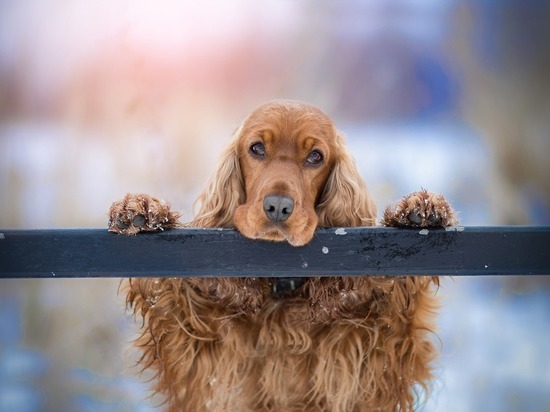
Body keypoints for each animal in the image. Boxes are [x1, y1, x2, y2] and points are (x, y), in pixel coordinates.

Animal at [108, 100, 458, 412]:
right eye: (257, 148)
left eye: (316, 157)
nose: (278, 206)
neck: (281, 288)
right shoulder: (198, 357)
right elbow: (168, 296)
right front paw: (141, 211)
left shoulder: (373, 358)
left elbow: (399, 311)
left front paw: (418, 210)